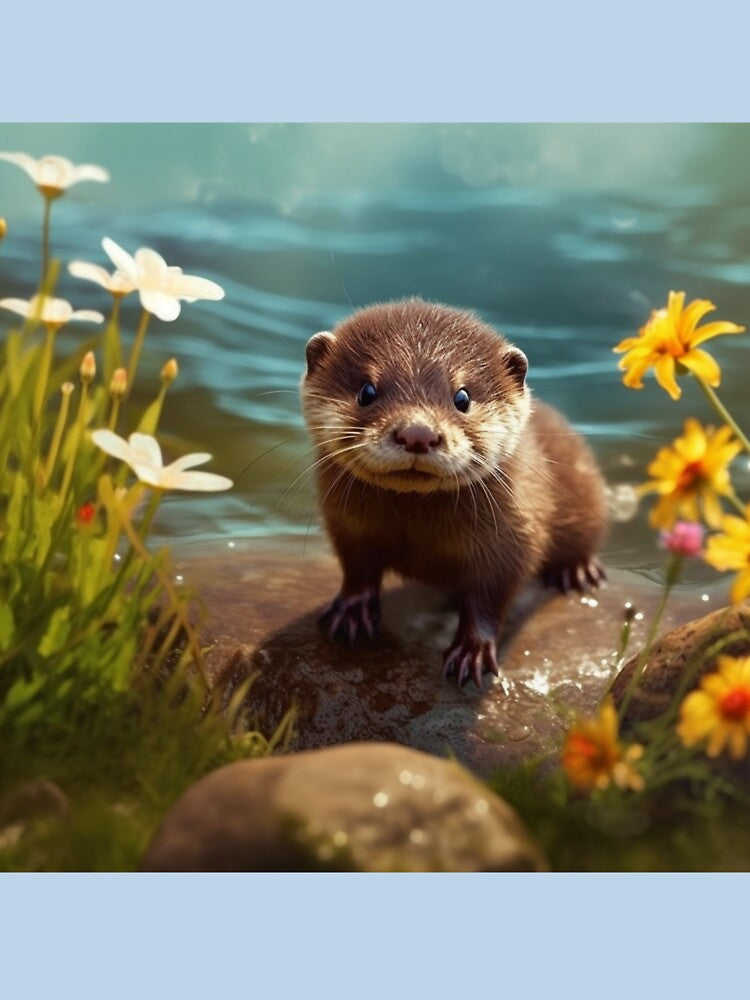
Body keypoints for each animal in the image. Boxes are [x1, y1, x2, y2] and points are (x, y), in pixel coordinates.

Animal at [301, 299, 607, 689]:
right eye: (367, 391)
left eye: (462, 396)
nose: (417, 432)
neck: (422, 538)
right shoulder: (348, 525)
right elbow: (357, 569)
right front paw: (352, 612)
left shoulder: (513, 539)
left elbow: (491, 597)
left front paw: (470, 653)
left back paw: (578, 572)